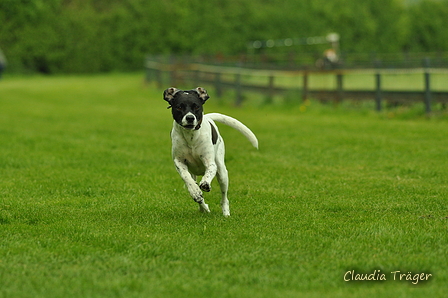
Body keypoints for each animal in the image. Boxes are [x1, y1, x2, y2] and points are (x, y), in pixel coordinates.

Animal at [164, 86, 258, 217]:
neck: (191, 136)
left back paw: (225, 213)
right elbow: (186, 177)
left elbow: (209, 172)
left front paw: (205, 183)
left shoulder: (210, 163)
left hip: (222, 174)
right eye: (179, 107)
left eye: (196, 106)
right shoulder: (179, 162)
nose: (190, 118)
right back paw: (203, 206)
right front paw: (195, 191)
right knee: (197, 193)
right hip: (194, 174)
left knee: (224, 197)